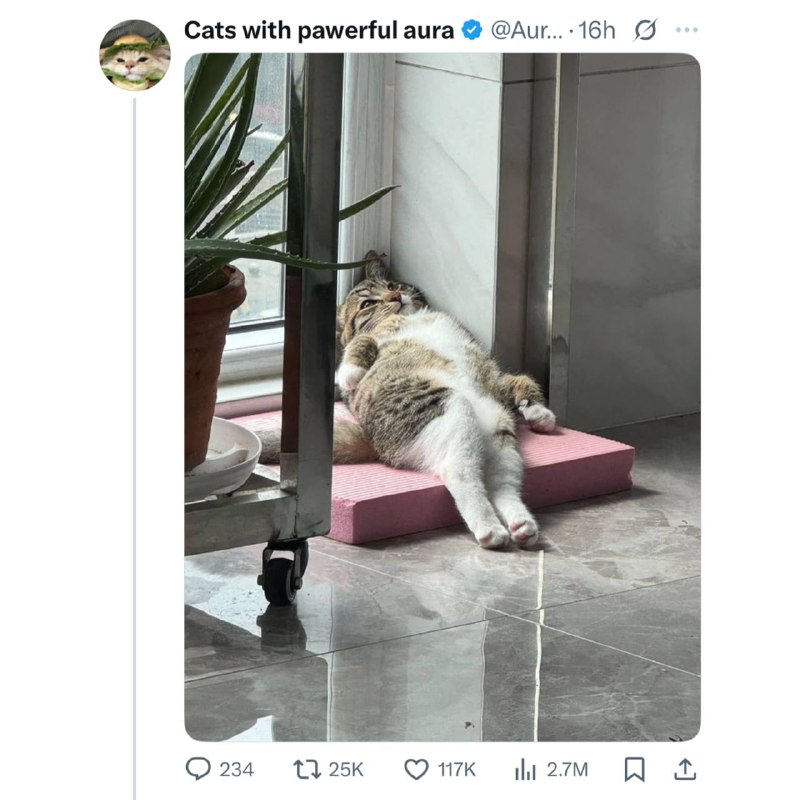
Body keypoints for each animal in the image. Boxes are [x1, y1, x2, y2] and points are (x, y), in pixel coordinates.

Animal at [259, 252, 557, 550]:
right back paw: (489, 529)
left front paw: (539, 412)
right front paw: (350, 373)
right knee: (459, 472)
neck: (411, 317)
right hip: (447, 406)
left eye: (390, 285)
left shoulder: (494, 377)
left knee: (501, 485)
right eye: (368, 304)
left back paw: (521, 524)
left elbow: (519, 381)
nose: (396, 296)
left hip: (499, 434)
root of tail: (374, 441)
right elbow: (361, 342)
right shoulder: (375, 337)